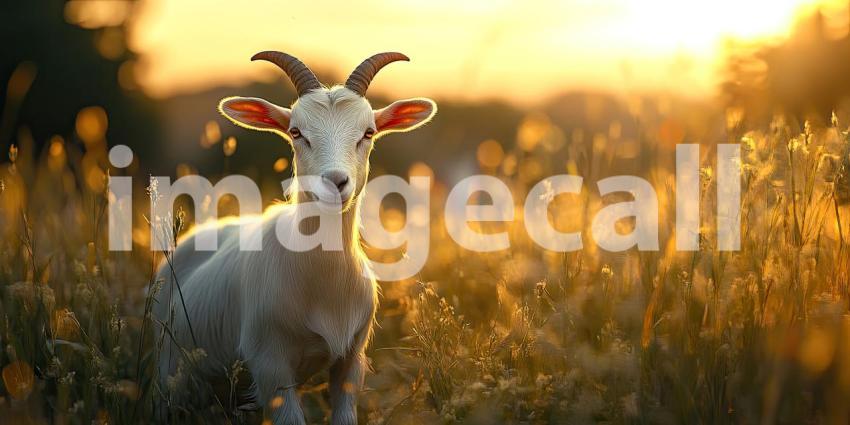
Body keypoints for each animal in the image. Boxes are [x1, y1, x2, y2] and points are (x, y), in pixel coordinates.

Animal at [153, 52, 436, 424]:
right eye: (296, 131)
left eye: (368, 132)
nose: (335, 182)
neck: (325, 284)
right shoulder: (270, 366)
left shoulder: (351, 362)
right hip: (171, 370)